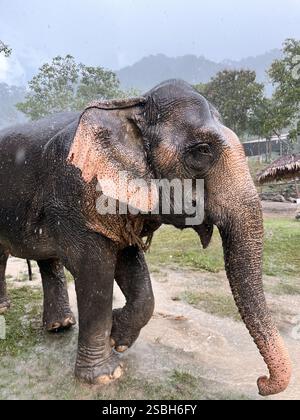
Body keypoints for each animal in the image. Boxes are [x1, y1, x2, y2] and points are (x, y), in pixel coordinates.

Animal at [0, 79, 290, 398]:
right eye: (202, 150)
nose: (261, 382)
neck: (130, 106)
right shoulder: (74, 194)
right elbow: (94, 271)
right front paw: (105, 376)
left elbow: (131, 264)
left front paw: (117, 337)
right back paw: (9, 310)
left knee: (46, 260)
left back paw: (60, 326)